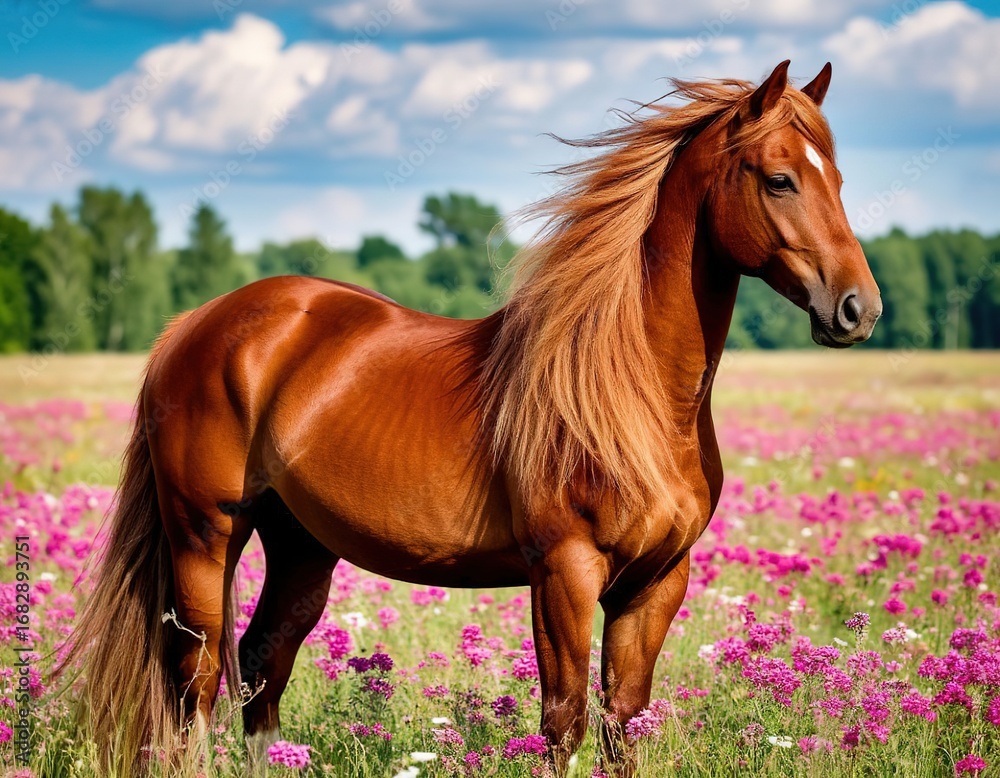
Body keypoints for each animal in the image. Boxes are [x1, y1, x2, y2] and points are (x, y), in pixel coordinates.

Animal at [58, 60, 881, 776]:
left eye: (839, 178)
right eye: (779, 179)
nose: (857, 308)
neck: (637, 394)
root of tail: (195, 324)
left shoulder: (655, 584)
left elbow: (623, 725)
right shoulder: (564, 572)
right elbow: (563, 723)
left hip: (300, 545)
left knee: (263, 665)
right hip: (206, 535)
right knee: (194, 684)